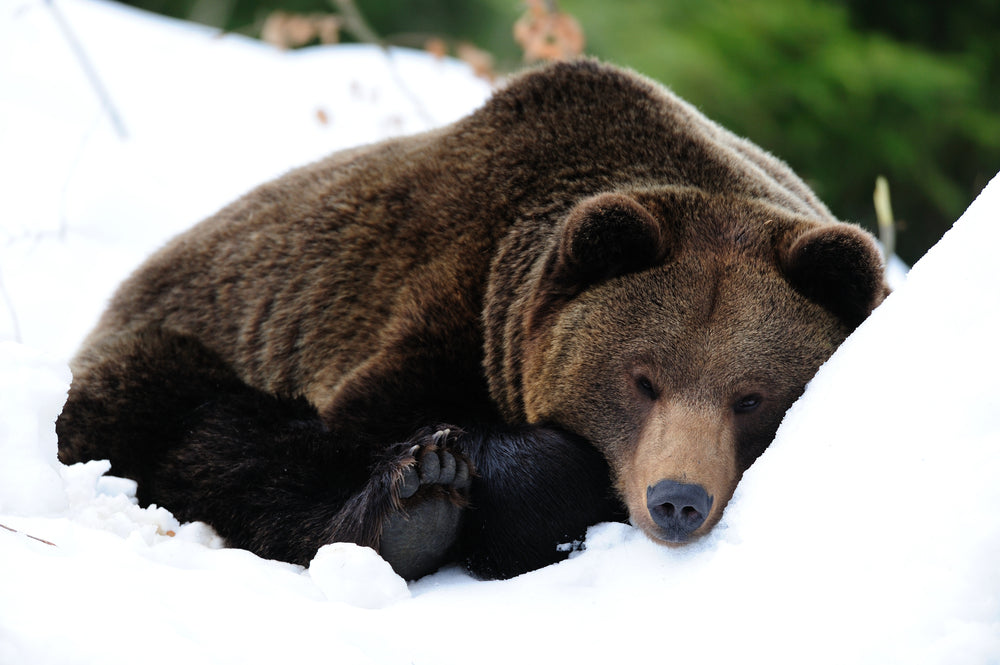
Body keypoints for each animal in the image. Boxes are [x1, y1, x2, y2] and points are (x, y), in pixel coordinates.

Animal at [56, 59, 889, 580]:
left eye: (752, 395)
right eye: (642, 378)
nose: (677, 499)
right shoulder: (435, 306)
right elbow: (316, 445)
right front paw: (432, 483)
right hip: (185, 337)